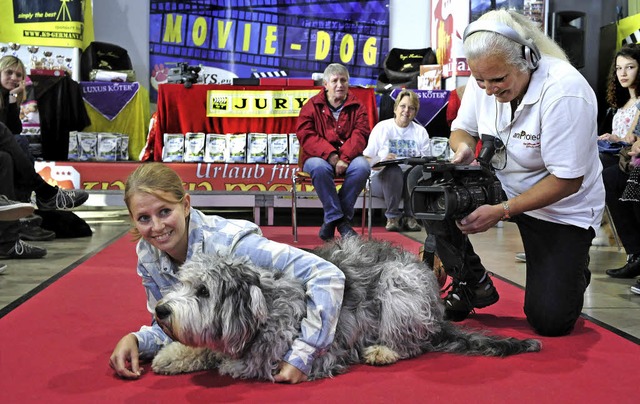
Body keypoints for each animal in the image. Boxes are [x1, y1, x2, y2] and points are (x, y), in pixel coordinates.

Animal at [151, 235, 540, 380]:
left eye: (203, 290)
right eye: (182, 283)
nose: (161, 311)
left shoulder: (318, 352)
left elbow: (242, 362)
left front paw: (227, 363)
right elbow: (207, 347)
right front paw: (173, 355)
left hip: (399, 286)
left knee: (415, 343)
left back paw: (383, 350)